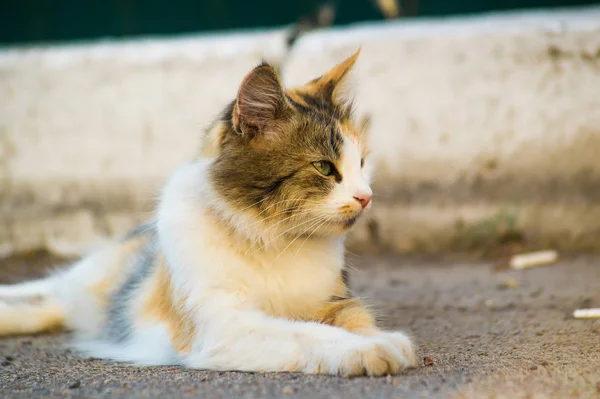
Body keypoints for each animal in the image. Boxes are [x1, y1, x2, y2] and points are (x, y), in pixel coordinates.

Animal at [0, 48, 418, 376]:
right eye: (324, 168)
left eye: (361, 163)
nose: (367, 197)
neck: (272, 240)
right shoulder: (224, 325)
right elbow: (307, 333)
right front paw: (367, 350)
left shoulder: (335, 301)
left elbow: (356, 321)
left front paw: (378, 340)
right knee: (49, 288)